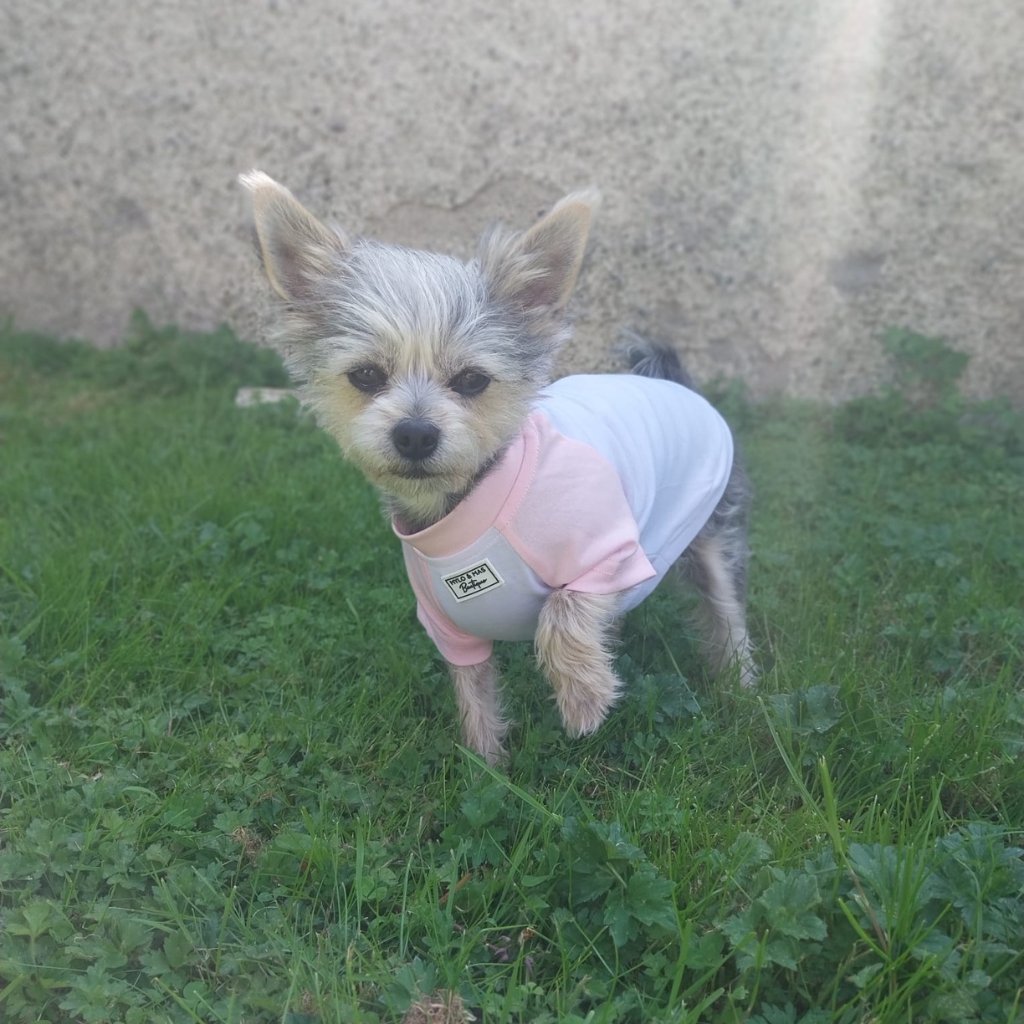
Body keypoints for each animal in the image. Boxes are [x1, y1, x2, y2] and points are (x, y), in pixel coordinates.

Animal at [240, 171, 756, 763]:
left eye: (472, 380)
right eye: (366, 375)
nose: (415, 433)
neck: (464, 505)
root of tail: (672, 380)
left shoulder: (616, 555)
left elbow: (561, 610)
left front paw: (583, 695)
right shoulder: (450, 627)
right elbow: (475, 693)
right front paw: (486, 764)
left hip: (712, 533)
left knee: (727, 618)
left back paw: (743, 698)